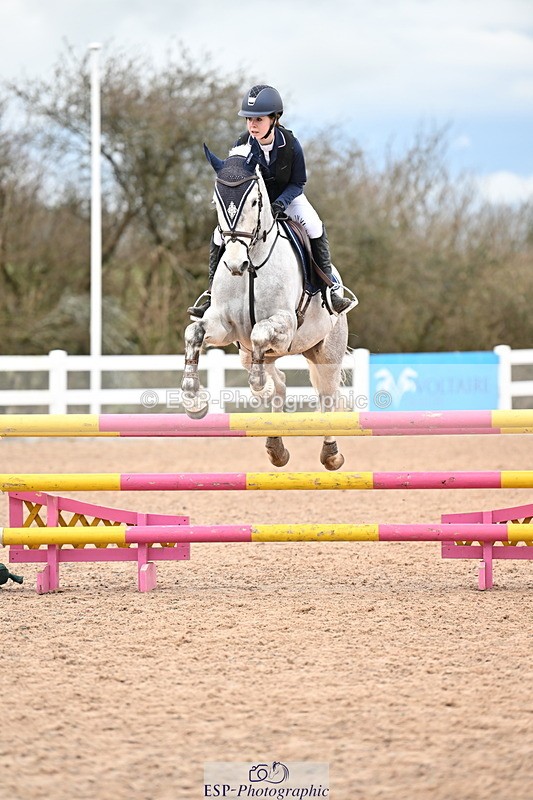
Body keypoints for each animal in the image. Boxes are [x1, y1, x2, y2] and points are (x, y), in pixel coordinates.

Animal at [181, 140, 351, 470]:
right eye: (216, 201)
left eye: (255, 201)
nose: (236, 265)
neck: (253, 264)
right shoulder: (224, 326)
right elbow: (193, 333)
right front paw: (192, 396)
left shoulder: (284, 325)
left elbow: (260, 332)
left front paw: (259, 384)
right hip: (247, 353)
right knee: (281, 384)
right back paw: (276, 447)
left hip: (326, 351)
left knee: (327, 395)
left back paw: (331, 454)